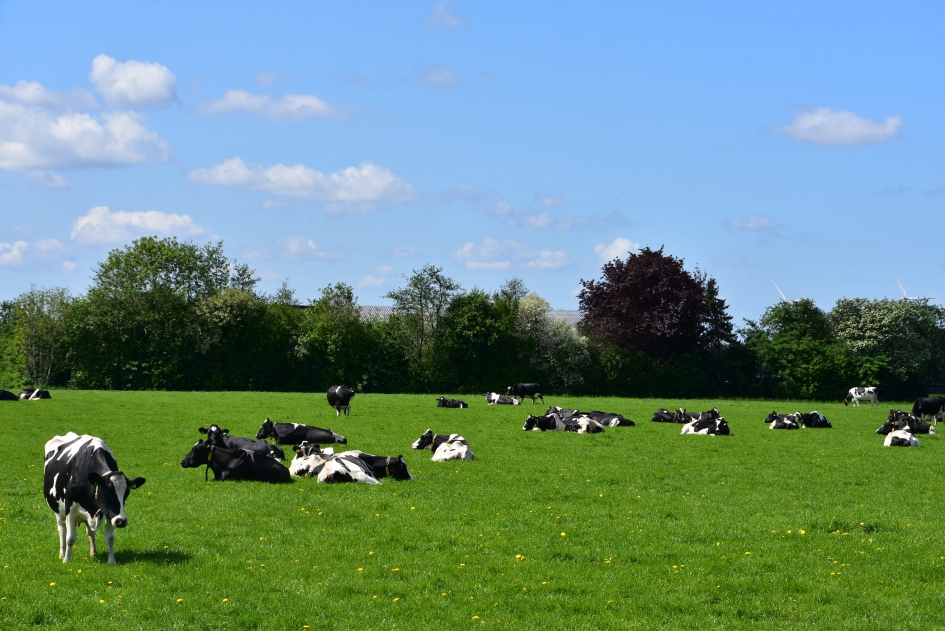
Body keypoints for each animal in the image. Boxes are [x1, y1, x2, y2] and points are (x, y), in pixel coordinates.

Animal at [43, 432, 146, 564]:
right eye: (107, 493)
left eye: (126, 494)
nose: (121, 521)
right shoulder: (70, 508)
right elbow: (70, 538)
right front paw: (66, 560)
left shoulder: (109, 512)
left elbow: (110, 538)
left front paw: (111, 561)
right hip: (58, 511)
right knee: (62, 529)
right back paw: (62, 554)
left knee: (90, 531)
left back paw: (93, 553)